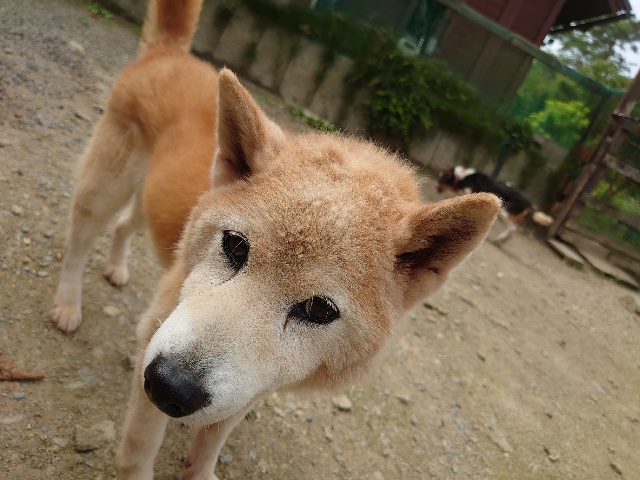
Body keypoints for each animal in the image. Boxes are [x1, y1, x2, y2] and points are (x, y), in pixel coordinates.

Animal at [50, 1, 500, 478]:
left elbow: (210, 444)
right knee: (78, 244)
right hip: (104, 190)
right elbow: (139, 449)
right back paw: (67, 305)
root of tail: (170, 54)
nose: (169, 385)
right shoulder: (152, 338)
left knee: (123, 227)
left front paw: (201, 469)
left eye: (319, 310)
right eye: (234, 246)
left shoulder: (253, 384)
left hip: (149, 201)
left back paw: (116, 267)